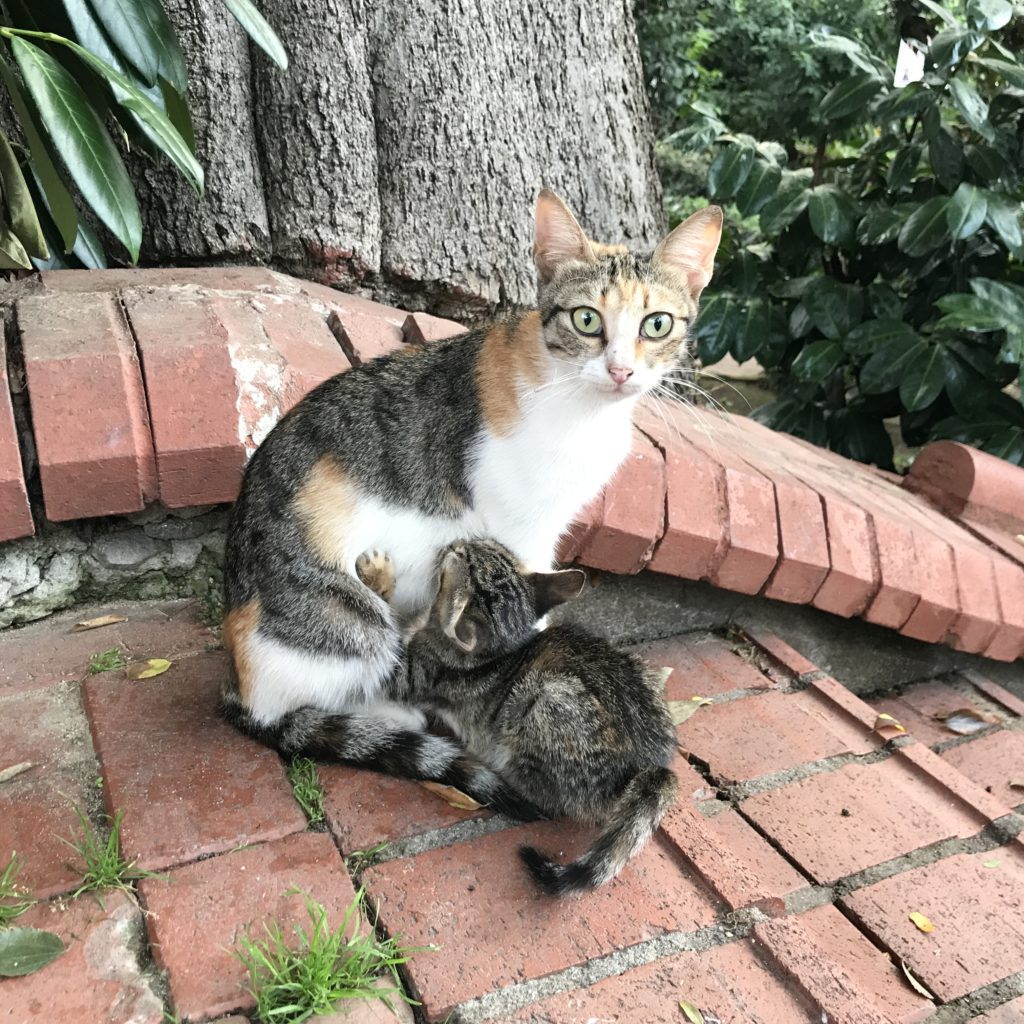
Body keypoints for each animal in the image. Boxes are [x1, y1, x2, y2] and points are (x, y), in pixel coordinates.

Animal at [220, 188, 724, 802]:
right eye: (586, 319)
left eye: (657, 324)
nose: (621, 370)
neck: (581, 409)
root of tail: (240, 687)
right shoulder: (519, 530)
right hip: (352, 623)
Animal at [356, 540, 675, 892]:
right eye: (488, 545)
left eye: (461, 556)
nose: (454, 543)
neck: (502, 649)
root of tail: (651, 766)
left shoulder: (411, 672)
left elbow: (387, 629)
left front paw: (377, 575)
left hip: (547, 699)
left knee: (547, 799)